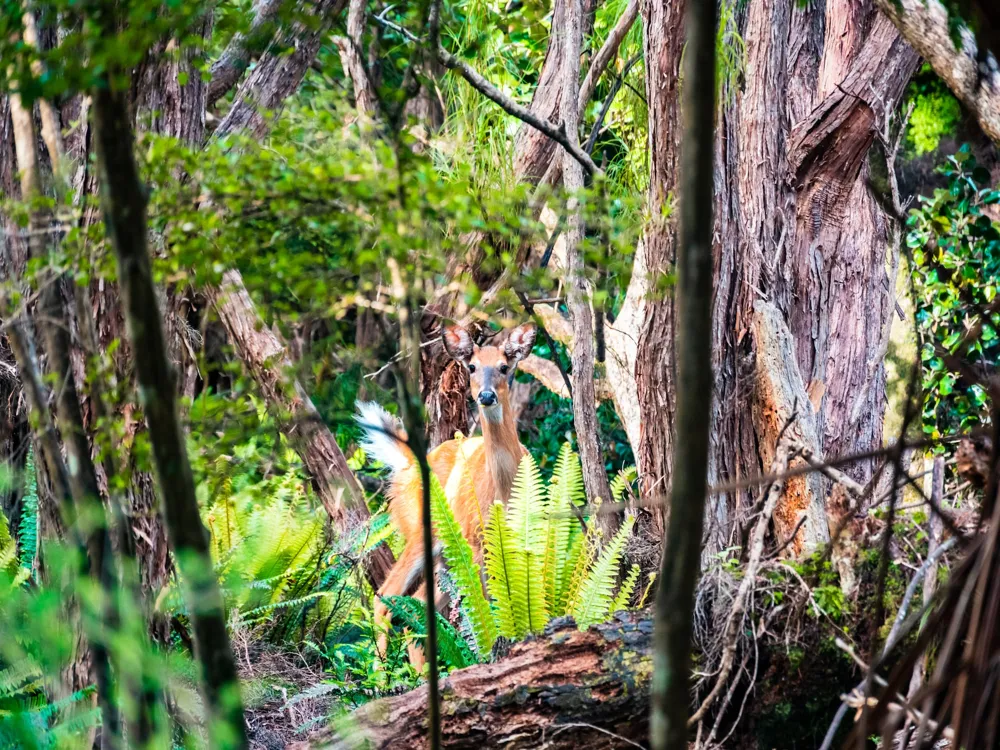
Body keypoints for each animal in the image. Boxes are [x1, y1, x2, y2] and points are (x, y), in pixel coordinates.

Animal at [356, 320, 536, 668]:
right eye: (472, 367)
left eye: (504, 367)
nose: (486, 395)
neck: (504, 490)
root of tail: (410, 464)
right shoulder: (476, 539)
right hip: (423, 533)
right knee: (385, 597)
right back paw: (384, 674)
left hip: (447, 556)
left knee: (416, 604)